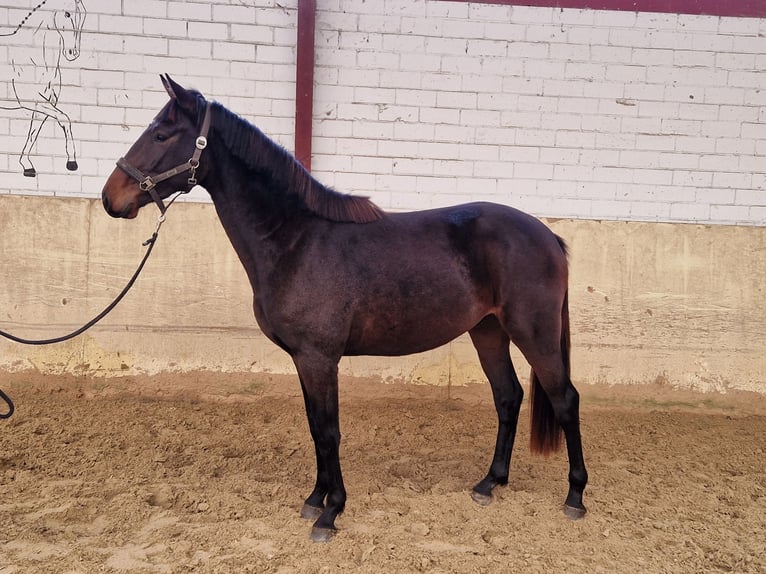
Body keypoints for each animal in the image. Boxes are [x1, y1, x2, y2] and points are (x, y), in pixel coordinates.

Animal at [102, 76, 592, 544]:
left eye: (162, 133)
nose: (111, 198)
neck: (296, 240)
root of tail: (549, 237)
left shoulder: (320, 358)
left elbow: (329, 430)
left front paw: (331, 512)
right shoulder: (304, 359)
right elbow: (315, 427)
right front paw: (315, 499)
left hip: (533, 333)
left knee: (565, 399)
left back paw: (574, 497)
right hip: (488, 331)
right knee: (508, 397)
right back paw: (490, 483)